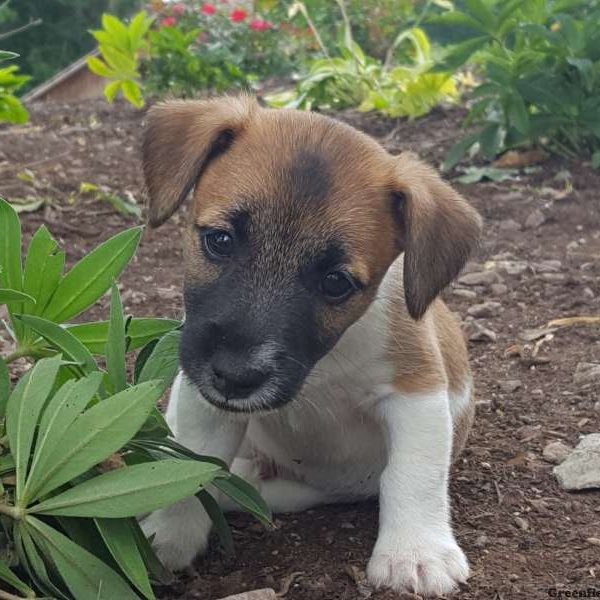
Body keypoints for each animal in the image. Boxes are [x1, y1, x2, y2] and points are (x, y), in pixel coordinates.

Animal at [141, 96, 482, 596]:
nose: (236, 377)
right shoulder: (203, 397)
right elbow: (193, 466)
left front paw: (415, 553)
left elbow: (413, 471)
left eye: (336, 283)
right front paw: (169, 533)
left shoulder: (416, 391)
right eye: (219, 240)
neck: (321, 370)